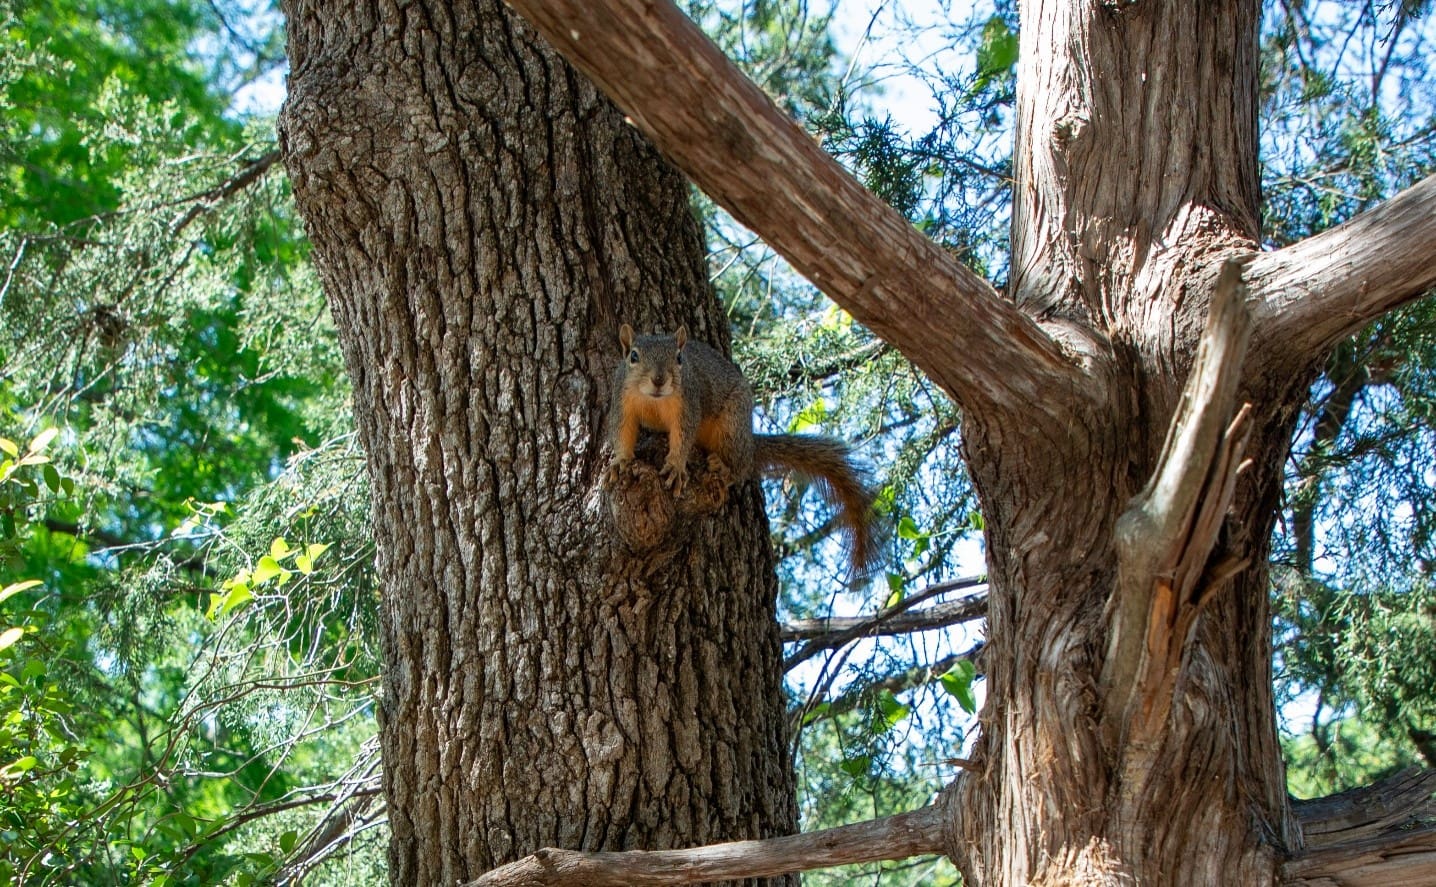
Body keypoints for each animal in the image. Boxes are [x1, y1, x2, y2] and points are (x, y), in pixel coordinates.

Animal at [607, 323, 882, 578]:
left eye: (679, 358)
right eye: (633, 356)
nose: (659, 380)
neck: (653, 400)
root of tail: (750, 444)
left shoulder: (688, 405)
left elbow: (683, 438)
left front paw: (675, 466)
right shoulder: (622, 401)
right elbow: (622, 432)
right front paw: (621, 461)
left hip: (732, 425)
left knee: (740, 468)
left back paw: (725, 468)